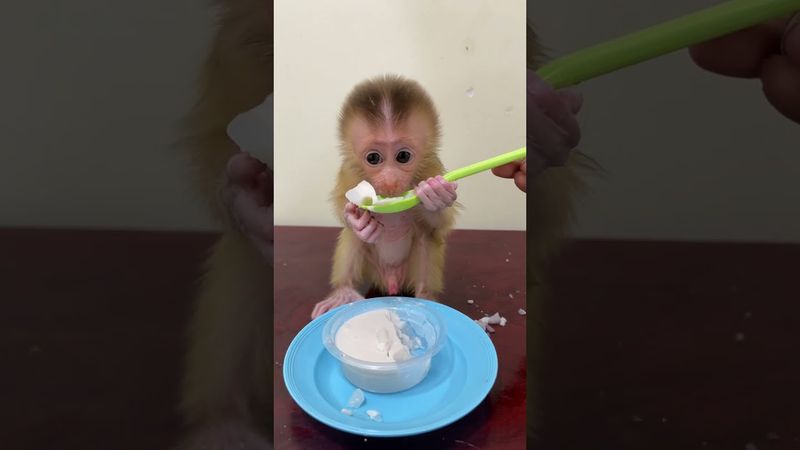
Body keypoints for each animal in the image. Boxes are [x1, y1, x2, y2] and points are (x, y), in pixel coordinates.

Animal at [310, 74, 460, 319]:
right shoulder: (349, 171)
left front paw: (435, 197)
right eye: (373, 158)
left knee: (425, 239)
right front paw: (356, 221)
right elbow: (346, 214)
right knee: (352, 239)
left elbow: (437, 227)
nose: (390, 180)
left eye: (403, 156)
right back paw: (344, 292)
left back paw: (425, 298)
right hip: (372, 271)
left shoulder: (431, 167)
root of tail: (390, 282)